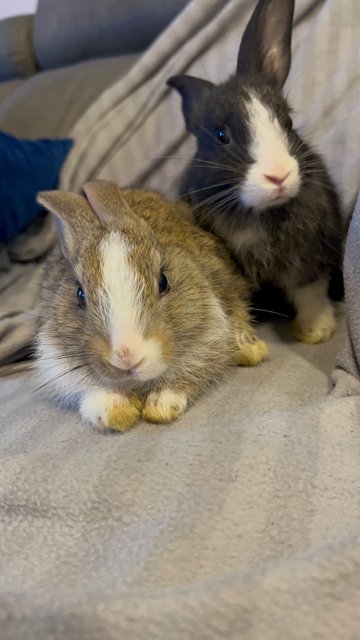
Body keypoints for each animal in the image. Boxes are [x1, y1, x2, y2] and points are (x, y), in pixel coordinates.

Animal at [37, 181, 268, 430]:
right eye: (80, 295)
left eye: (163, 281)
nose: (127, 355)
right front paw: (116, 413)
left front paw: (161, 407)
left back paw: (249, 348)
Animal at [167, 0, 344, 342]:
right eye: (221, 135)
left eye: (288, 121)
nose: (279, 175)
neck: (256, 217)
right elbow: (231, 300)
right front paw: (240, 339)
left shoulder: (307, 256)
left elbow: (309, 290)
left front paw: (316, 331)